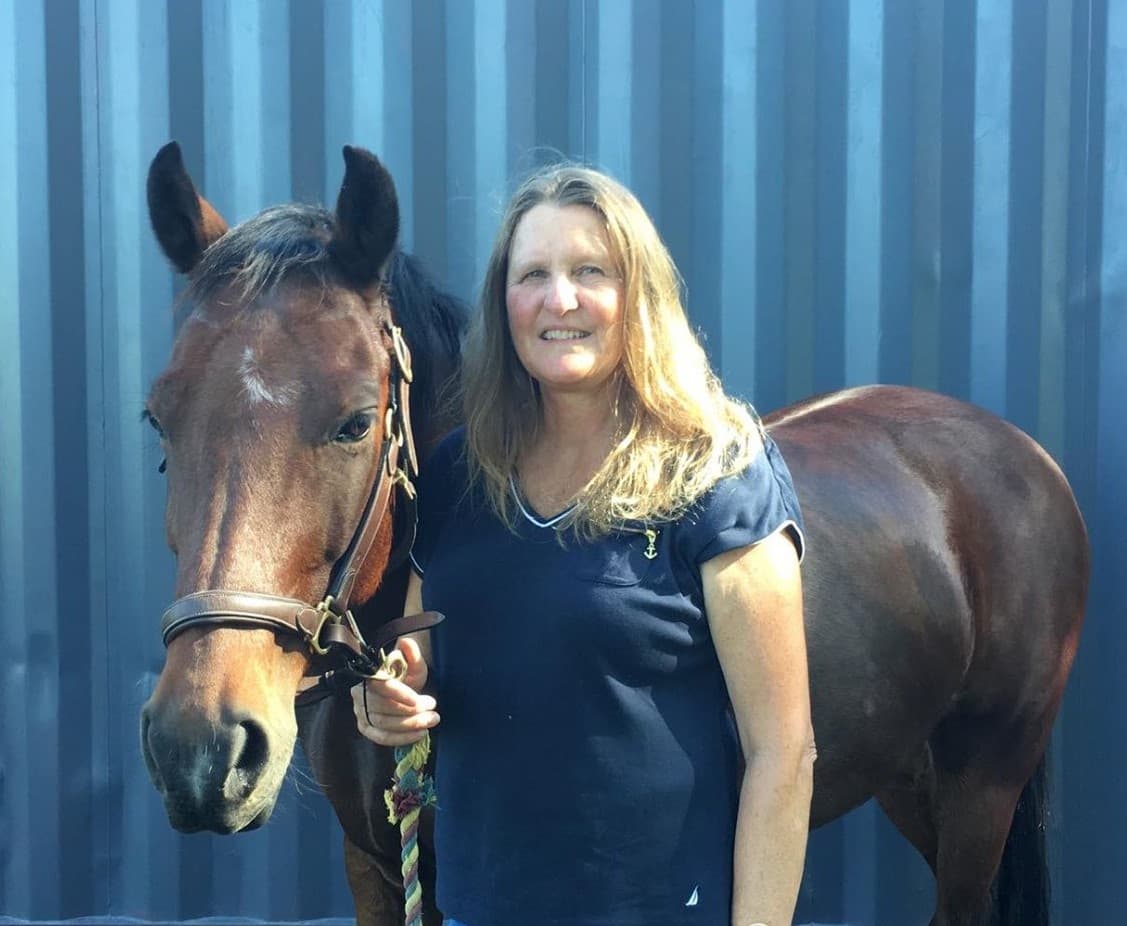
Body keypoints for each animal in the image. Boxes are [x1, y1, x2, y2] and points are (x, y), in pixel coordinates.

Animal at [138, 144, 1088, 926]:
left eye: (355, 422)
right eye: (158, 417)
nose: (201, 751)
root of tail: (1022, 454)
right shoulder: (374, 869)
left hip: (984, 783)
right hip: (907, 770)